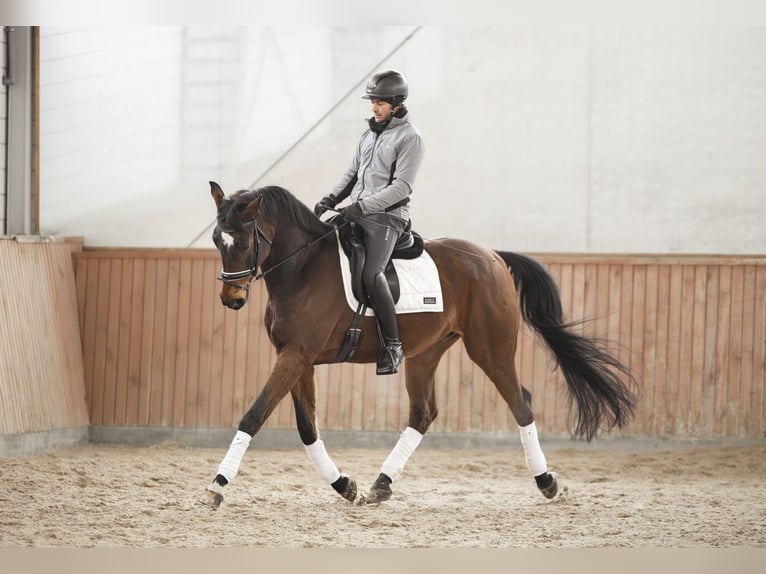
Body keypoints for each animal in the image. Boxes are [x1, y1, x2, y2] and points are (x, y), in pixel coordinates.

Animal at [200, 181, 637, 508]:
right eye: (217, 239)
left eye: (243, 242)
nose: (231, 298)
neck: (302, 269)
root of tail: (493, 256)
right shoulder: (298, 358)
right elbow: (307, 428)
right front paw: (345, 485)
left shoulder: (297, 354)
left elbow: (253, 416)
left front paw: (217, 486)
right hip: (426, 352)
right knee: (423, 413)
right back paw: (380, 484)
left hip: (491, 351)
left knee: (521, 403)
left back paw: (546, 482)